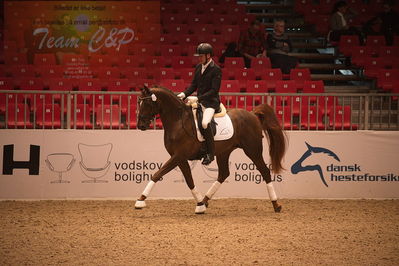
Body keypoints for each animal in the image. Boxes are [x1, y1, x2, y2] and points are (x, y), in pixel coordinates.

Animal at [136, 86, 286, 215]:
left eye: (147, 103)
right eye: (139, 102)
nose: (140, 125)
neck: (178, 121)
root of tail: (253, 114)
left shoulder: (178, 156)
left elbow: (157, 174)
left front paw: (140, 200)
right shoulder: (180, 158)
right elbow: (189, 180)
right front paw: (200, 205)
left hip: (253, 150)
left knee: (265, 172)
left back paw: (276, 204)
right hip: (223, 152)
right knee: (223, 174)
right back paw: (205, 201)